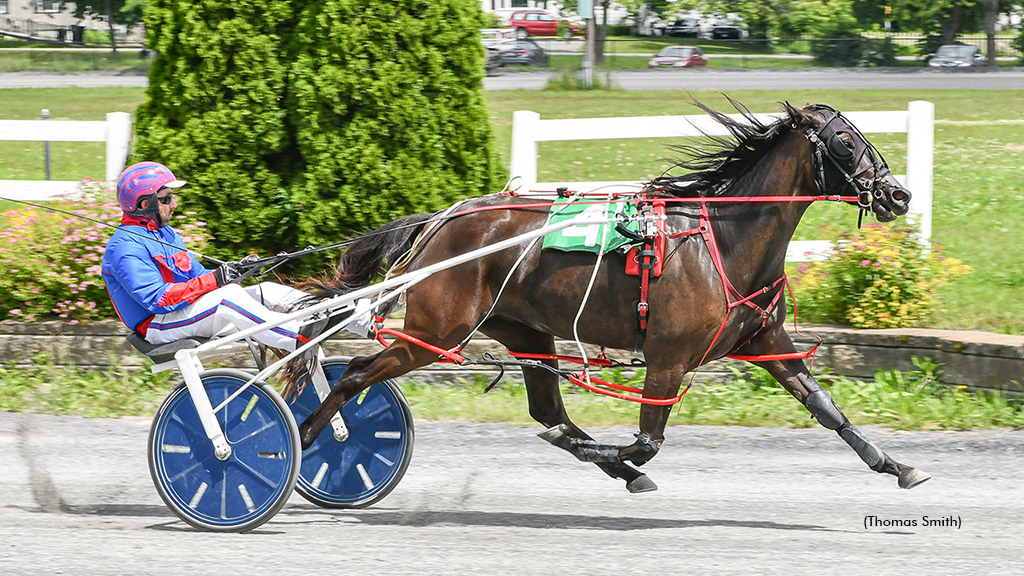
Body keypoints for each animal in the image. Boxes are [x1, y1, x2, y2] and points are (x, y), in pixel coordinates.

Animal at [294, 96, 929, 491]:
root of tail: (443, 220)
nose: (898, 194)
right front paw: (618, 455)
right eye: (844, 142)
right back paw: (301, 439)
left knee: (549, 411)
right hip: (437, 329)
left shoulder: (765, 342)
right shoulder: (668, 356)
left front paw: (897, 464)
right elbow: (647, 440)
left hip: (523, 330)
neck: (724, 240)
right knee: (356, 374)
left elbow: (827, 408)